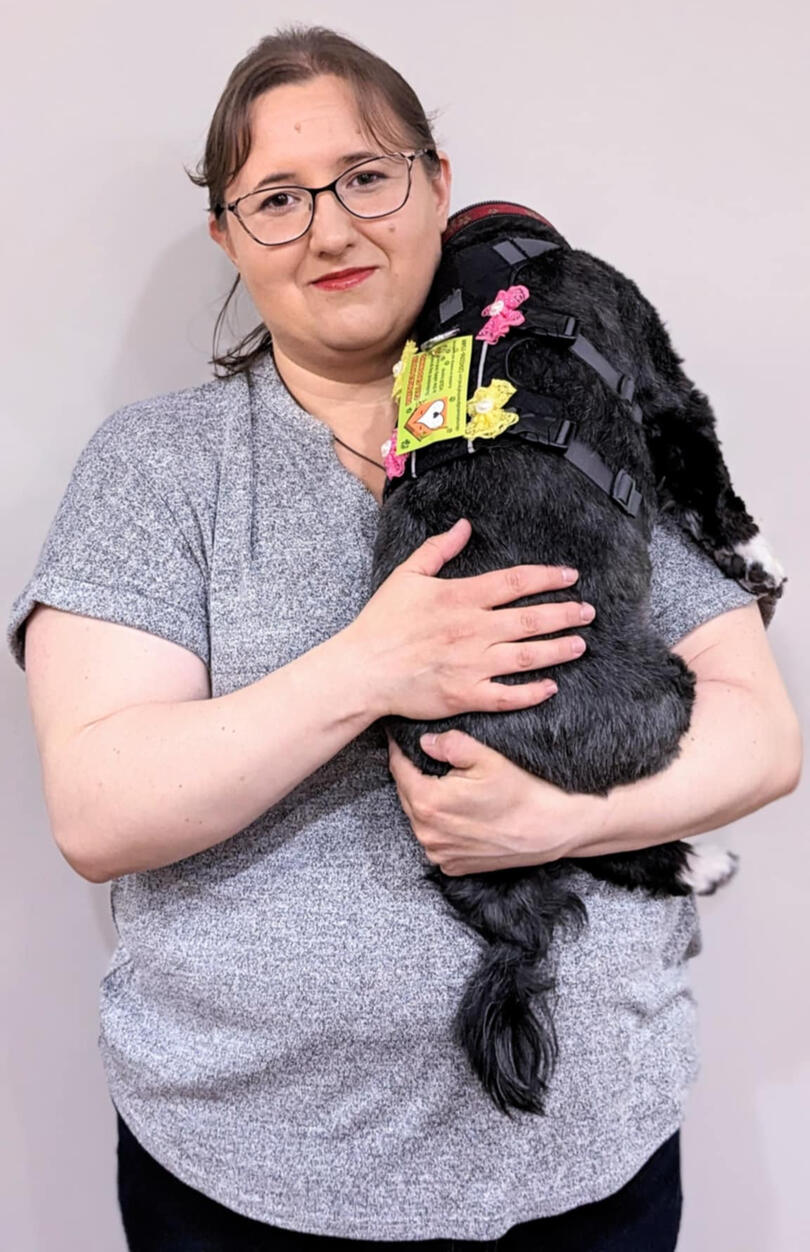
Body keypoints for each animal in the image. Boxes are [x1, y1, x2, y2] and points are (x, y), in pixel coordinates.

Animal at [369, 201, 787, 1118]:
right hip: (656, 699)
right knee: (612, 839)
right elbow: (711, 484)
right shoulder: (668, 392)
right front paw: (760, 562)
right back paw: (703, 863)